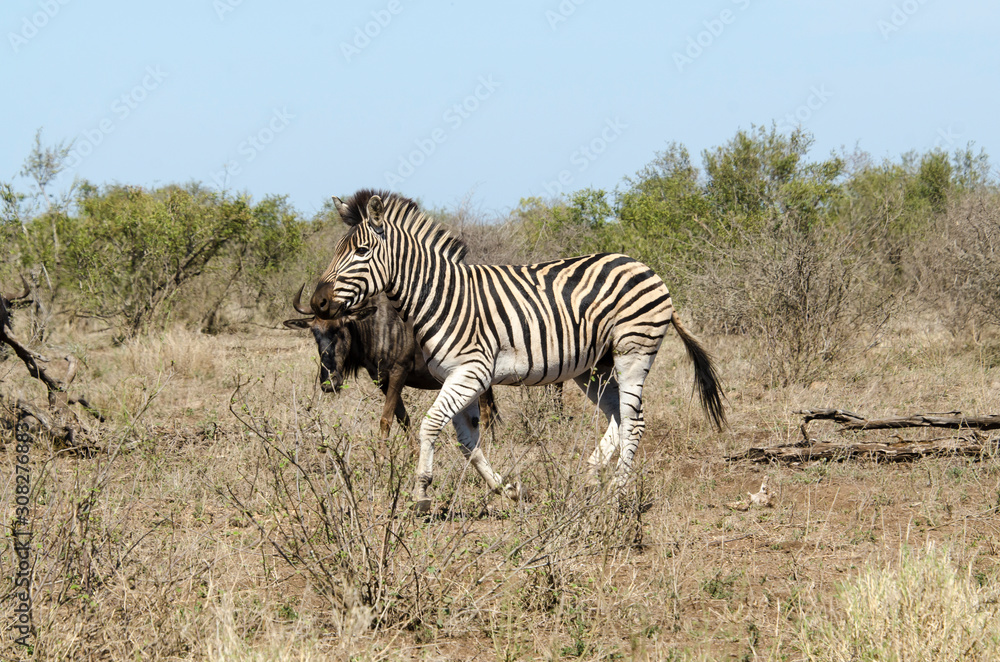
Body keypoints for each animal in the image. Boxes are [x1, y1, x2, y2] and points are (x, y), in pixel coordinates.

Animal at [309, 189, 725, 513]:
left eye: (362, 251)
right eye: (337, 251)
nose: (317, 302)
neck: (441, 297)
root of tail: (646, 267)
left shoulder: (471, 372)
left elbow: (431, 425)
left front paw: (421, 494)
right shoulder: (459, 377)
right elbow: (468, 442)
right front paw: (506, 489)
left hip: (633, 351)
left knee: (635, 421)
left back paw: (616, 492)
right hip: (594, 367)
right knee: (619, 417)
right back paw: (590, 480)